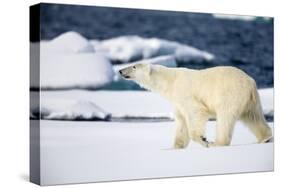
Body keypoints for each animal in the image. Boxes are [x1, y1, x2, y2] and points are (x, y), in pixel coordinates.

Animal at [118, 64, 272, 149]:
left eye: (134, 66)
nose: (120, 71)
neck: (169, 81)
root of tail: (250, 81)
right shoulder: (176, 101)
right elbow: (181, 122)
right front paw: (175, 147)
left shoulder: (184, 93)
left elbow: (195, 112)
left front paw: (204, 140)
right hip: (250, 100)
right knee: (253, 116)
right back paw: (265, 138)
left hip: (229, 94)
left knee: (225, 118)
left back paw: (217, 143)